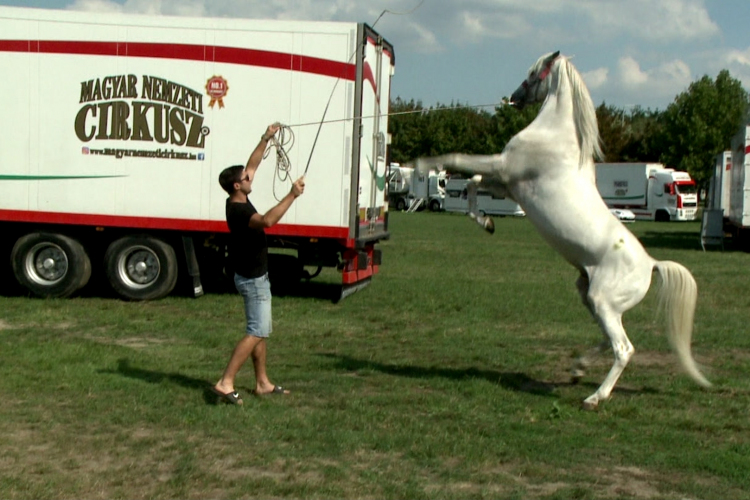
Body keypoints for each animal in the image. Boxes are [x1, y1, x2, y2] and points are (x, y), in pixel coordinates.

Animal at [414, 51, 712, 410]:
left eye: (533, 73)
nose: (514, 97)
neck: (556, 136)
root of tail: (652, 264)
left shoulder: (503, 168)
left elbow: (459, 160)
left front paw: (423, 165)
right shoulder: (506, 184)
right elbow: (472, 183)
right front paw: (487, 223)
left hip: (603, 300)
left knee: (624, 348)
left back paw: (594, 397)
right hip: (590, 296)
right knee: (608, 339)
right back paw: (577, 370)